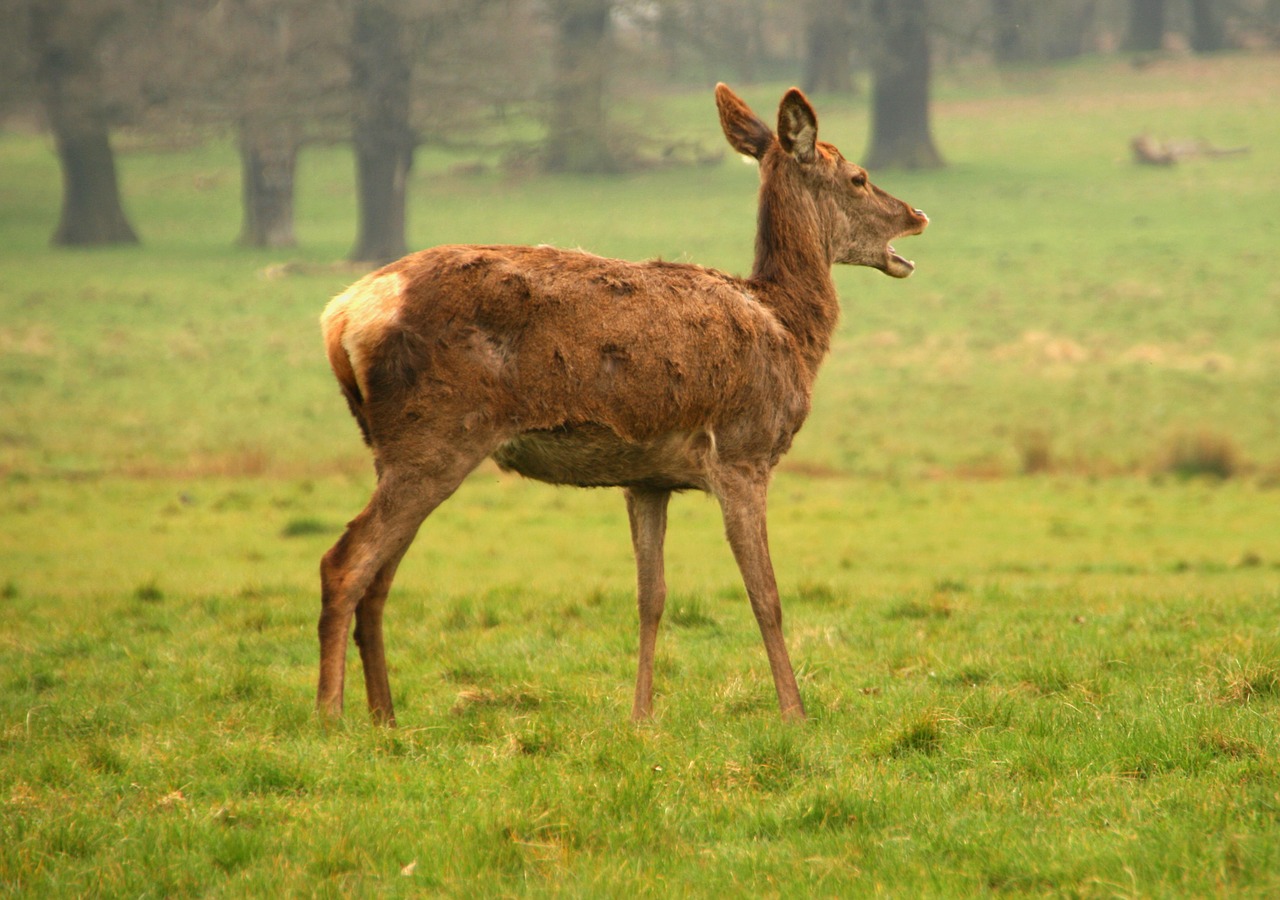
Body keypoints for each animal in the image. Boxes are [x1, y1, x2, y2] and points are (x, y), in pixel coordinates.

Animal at [314, 84, 926, 727]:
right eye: (859, 177)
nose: (916, 215)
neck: (791, 330)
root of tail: (340, 316)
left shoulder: (647, 477)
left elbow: (650, 596)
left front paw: (642, 716)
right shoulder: (743, 452)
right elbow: (766, 594)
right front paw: (795, 714)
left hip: (395, 446)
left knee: (379, 578)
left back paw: (386, 718)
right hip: (436, 435)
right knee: (345, 563)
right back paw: (331, 717)